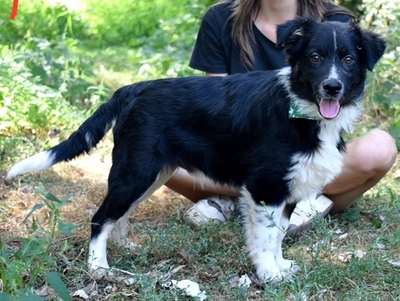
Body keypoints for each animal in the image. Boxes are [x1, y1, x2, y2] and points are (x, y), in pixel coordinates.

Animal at [6, 18, 386, 282]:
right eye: (316, 57)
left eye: (348, 59)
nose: (332, 87)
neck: (301, 108)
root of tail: (131, 88)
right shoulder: (265, 187)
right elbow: (265, 238)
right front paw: (269, 274)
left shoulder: (288, 188)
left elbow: (277, 236)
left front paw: (280, 267)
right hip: (136, 170)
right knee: (101, 217)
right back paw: (99, 266)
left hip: (153, 173)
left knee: (120, 213)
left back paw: (123, 247)